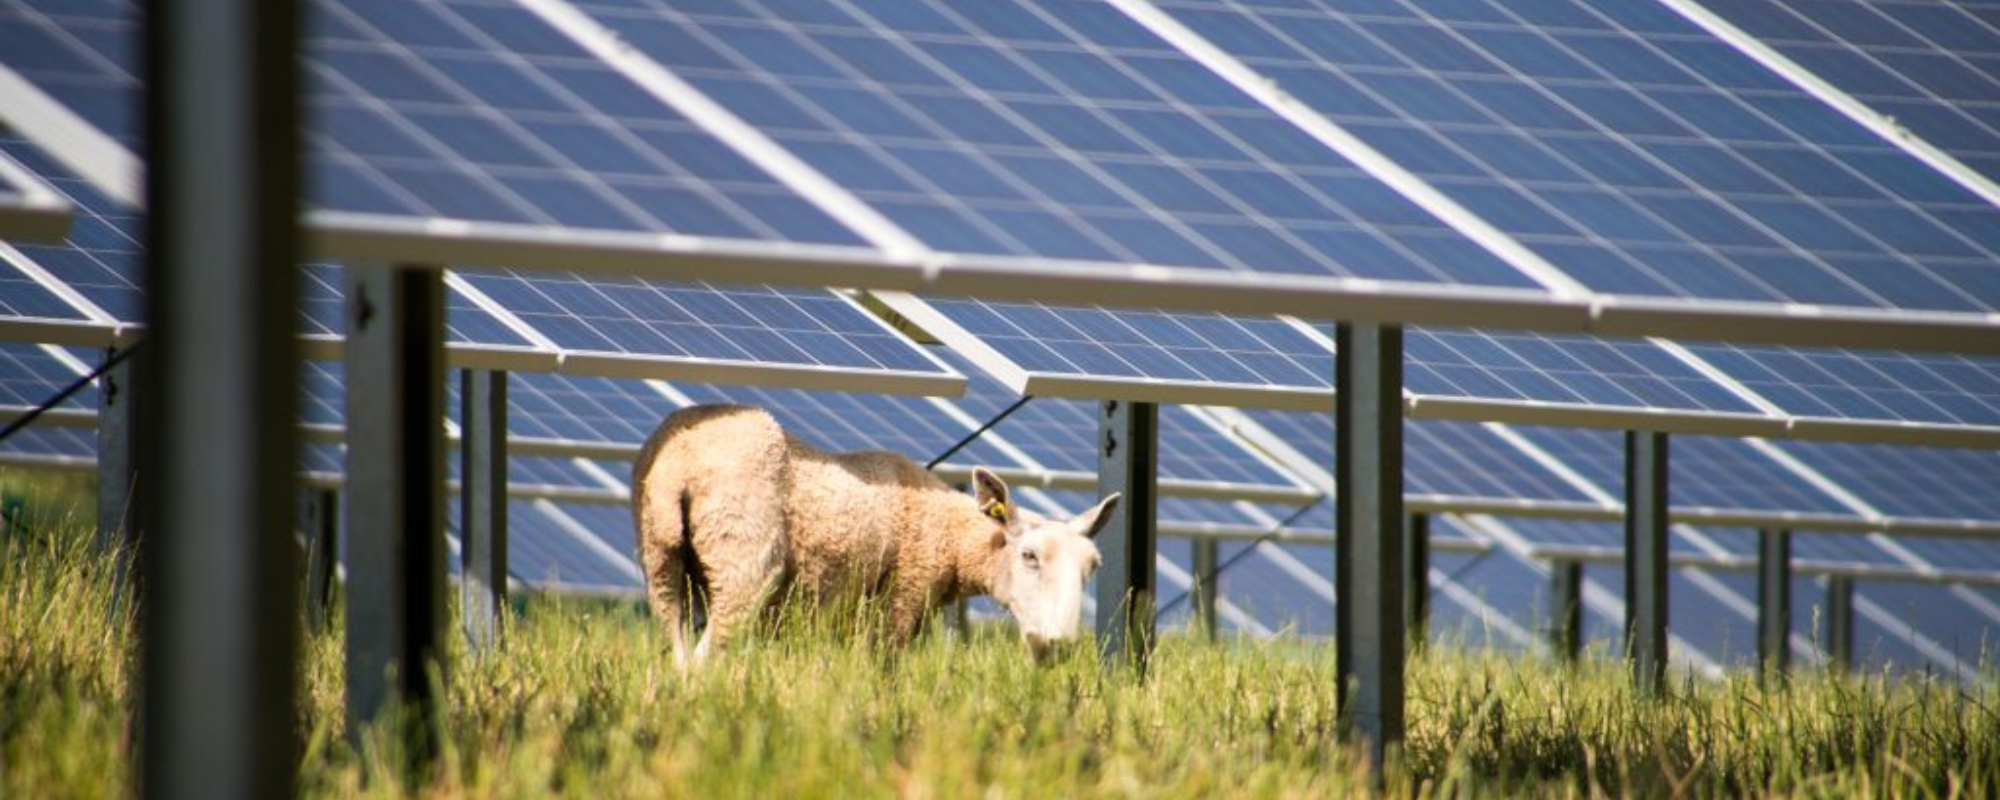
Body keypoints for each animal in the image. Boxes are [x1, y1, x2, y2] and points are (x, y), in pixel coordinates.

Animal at [632, 404, 1120, 669]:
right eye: (1029, 556)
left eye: (1093, 567)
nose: (1056, 646)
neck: (952, 538)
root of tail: (682, 463)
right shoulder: (900, 603)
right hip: (743, 556)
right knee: (704, 660)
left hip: (661, 560)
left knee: (680, 656)